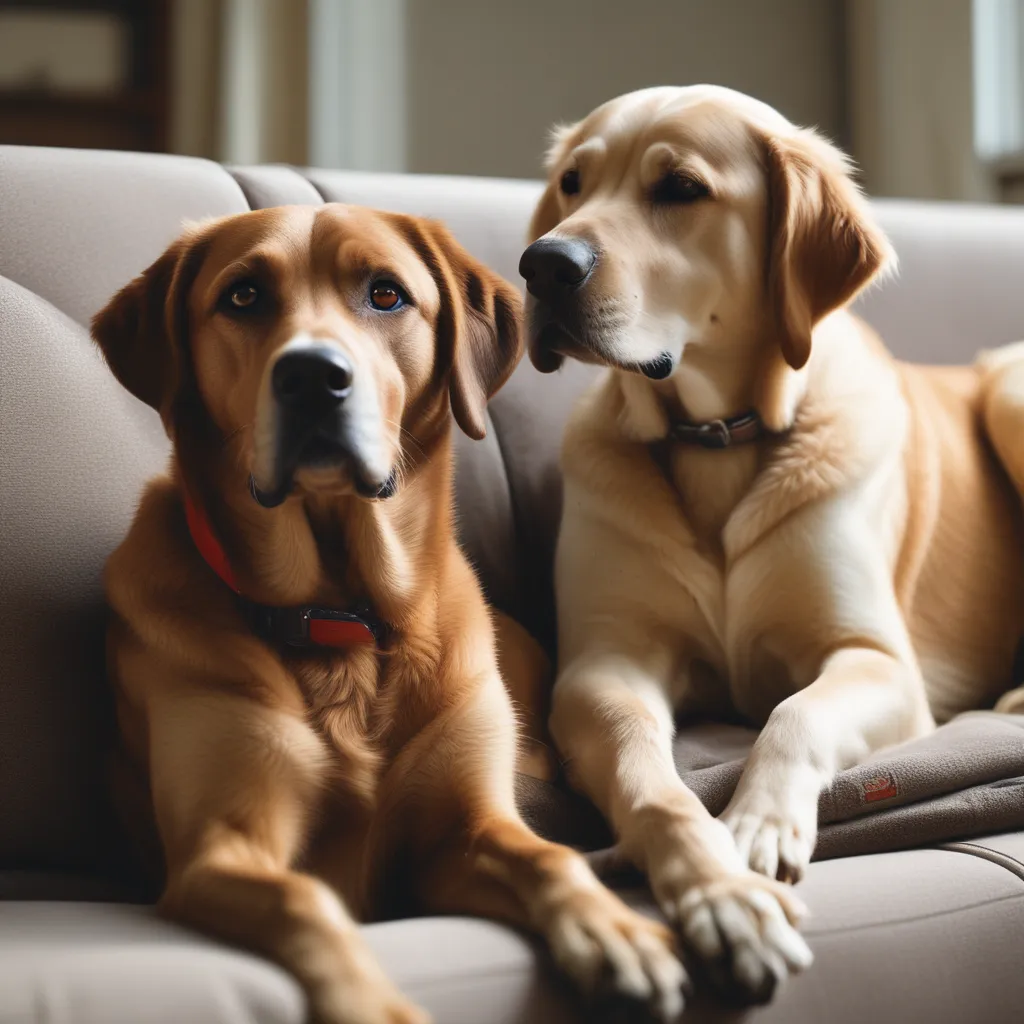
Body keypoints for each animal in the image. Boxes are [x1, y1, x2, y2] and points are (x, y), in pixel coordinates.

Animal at [94, 203, 688, 1024]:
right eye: (243, 296)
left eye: (385, 294)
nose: (313, 376)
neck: (343, 615)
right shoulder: (220, 848)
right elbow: (306, 901)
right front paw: (375, 1005)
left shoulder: (462, 831)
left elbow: (549, 859)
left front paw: (615, 933)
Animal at [520, 88, 1024, 999]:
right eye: (573, 183)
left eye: (681, 188)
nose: (541, 264)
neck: (719, 435)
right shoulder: (602, 666)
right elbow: (649, 775)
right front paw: (719, 888)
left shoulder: (878, 662)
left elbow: (795, 714)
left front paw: (755, 825)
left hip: (1009, 387)